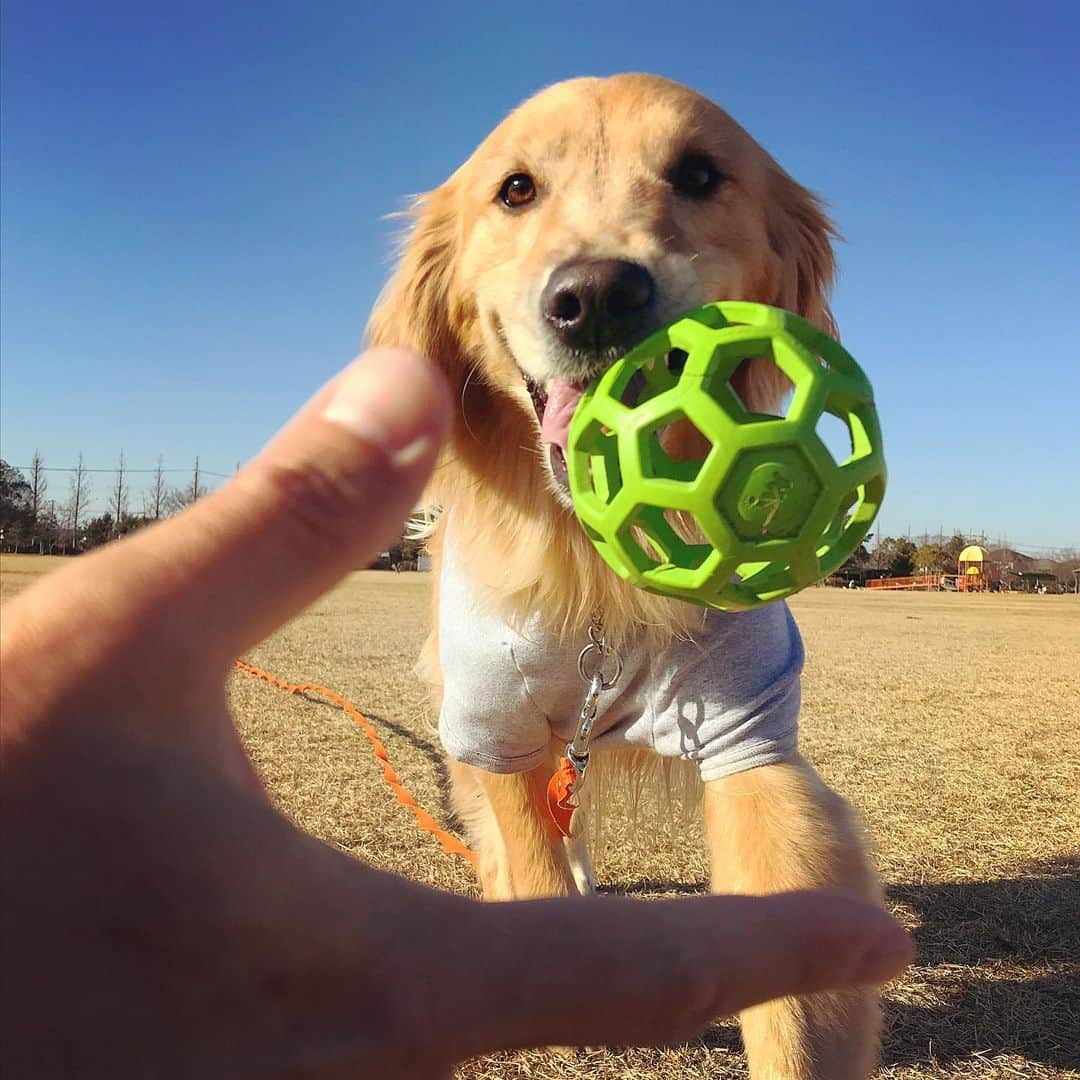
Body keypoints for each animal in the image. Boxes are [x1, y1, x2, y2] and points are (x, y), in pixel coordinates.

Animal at [367, 71, 881, 1075]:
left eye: (699, 174)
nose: (596, 295)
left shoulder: (750, 729)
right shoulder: (492, 724)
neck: (598, 568)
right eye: (516, 189)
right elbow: (528, 858)